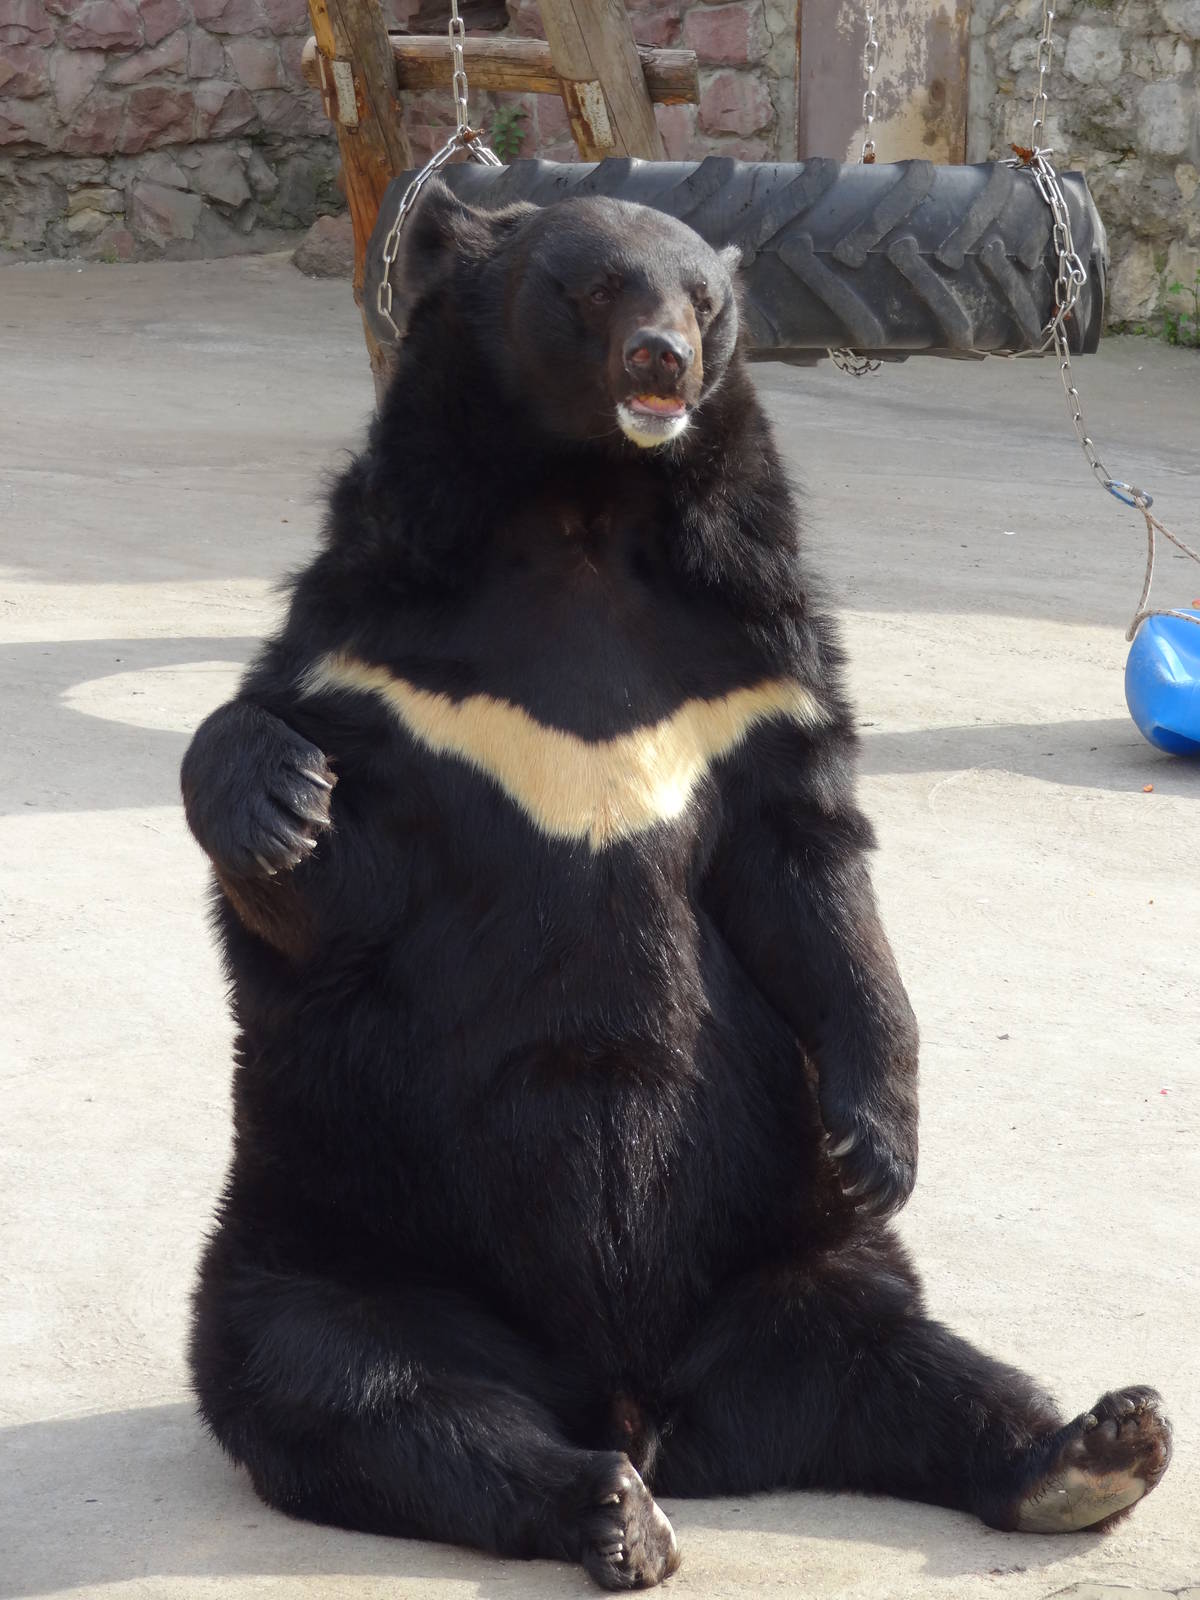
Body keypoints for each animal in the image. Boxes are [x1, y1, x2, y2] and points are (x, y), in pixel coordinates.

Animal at [181, 182, 1171, 1590]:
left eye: (703, 299)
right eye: (595, 290)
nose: (665, 364)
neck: (585, 511)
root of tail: (649, 1406)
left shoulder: (748, 665)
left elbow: (810, 870)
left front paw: (882, 1139)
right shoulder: (391, 670)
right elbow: (335, 892)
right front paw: (274, 797)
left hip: (787, 1256)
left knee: (906, 1362)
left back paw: (1094, 1445)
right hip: (348, 1221)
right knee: (344, 1381)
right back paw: (605, 1506)